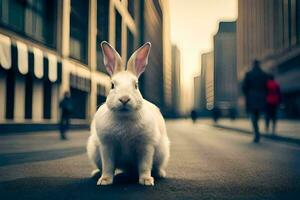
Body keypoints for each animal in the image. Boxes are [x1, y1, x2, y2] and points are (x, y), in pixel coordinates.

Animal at [88, 41, 170, 186]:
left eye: (136, 85)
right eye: (112, 85)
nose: (124, 99)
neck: (124, 116)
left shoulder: (146, 146)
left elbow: (144, 166)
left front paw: (146, 181)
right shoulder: (107, 146)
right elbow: (108, 165)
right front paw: (104, 181)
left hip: (162, 153)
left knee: (156, 166)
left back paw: (160, 173)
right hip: (94, 152)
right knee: (101, 166)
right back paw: (96, 173)